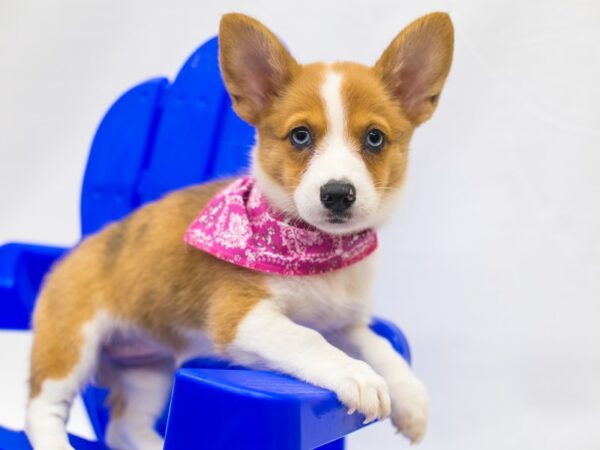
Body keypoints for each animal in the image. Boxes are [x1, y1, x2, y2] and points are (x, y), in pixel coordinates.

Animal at [24, 12, 454, 448]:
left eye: (374, 138)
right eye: (300, 135)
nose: (337, 194)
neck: (317, 251)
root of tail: (70, 254)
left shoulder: (343, 323)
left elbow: (380, 346)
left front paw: (411, 396)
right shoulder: (243, 317)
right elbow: (307, 339)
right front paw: (356, 375)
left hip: (148, 373)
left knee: (123, 427)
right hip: (70, 347)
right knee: (42, 410)